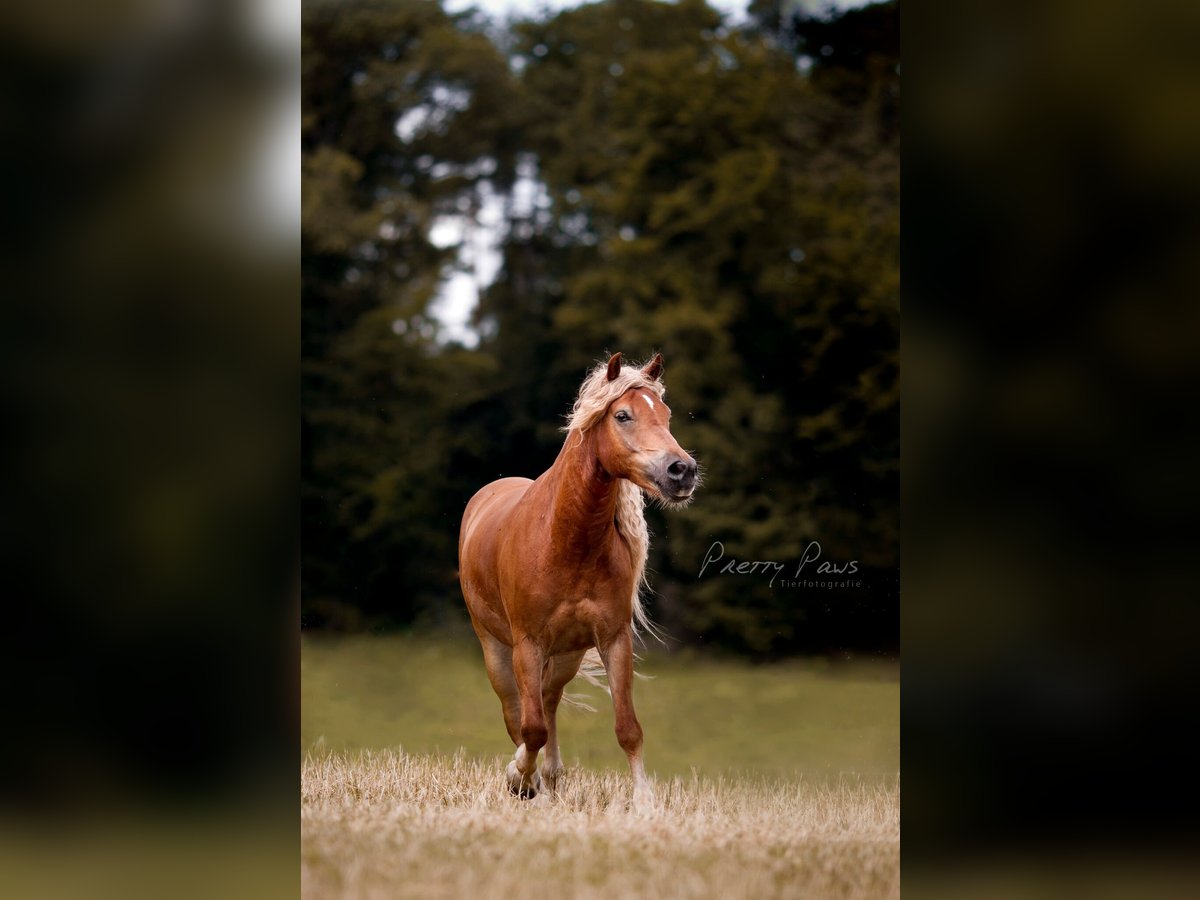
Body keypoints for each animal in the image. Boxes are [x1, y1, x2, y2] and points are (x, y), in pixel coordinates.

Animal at [460, 352, 700, 811]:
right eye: (622, 415)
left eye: (665, 414)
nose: (682, 470)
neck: (565, 540)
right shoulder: (528, 645)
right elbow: (530, 727)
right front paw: (520, 780)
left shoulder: (613, 639)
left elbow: (627, 727)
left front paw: (644, 802)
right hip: (496, 650)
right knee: (517, 714)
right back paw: (530, 780)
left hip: (567, 654)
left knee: (549, 702)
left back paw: (551, 776)